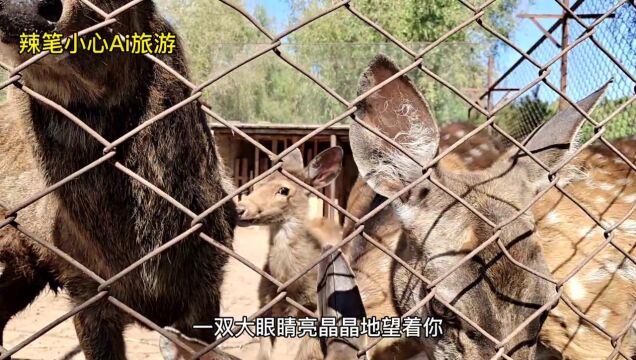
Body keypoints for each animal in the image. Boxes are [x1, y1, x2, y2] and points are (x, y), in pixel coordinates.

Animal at [234, 146, 342, 360]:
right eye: (257, 183)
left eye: (283, 190)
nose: (239, 209)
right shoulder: (266, 302)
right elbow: (264, 353)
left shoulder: (316, 308)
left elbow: (308, 352)